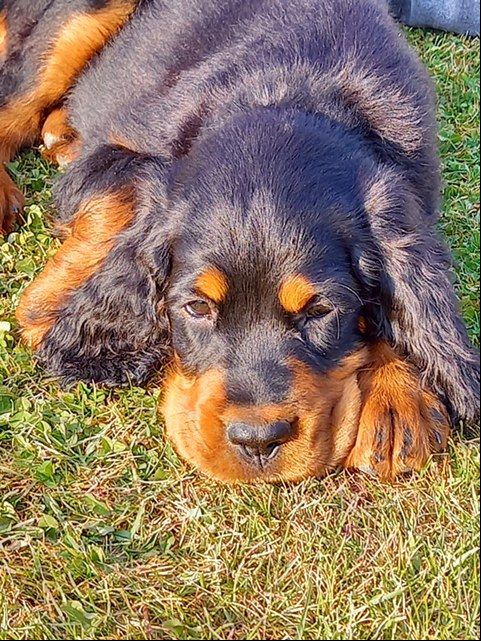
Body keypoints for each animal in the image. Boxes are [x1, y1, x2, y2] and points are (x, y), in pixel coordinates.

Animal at [1, 0, 478, 480]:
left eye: (320, 311)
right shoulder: (113, 155)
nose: (258, 440)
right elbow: (129, 188)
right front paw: (53, 303)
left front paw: (396, 395)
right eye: (197, 308)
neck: (287, 95)